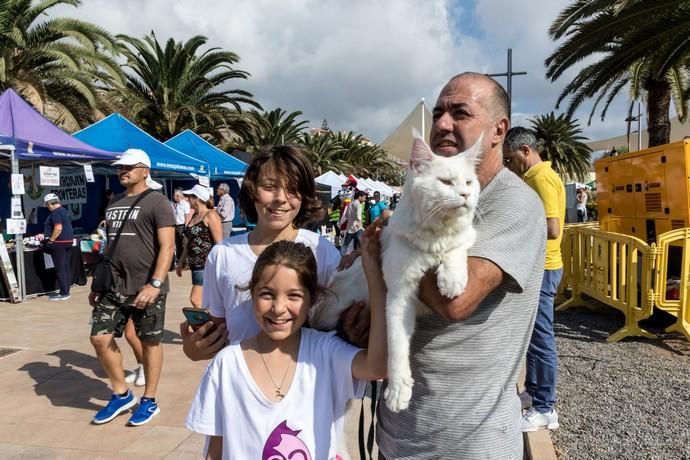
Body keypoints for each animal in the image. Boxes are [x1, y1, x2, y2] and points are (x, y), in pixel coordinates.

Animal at [310, 135, 478, 412]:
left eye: (469, 182)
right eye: (445, 182)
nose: (465, 195)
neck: (435, 235)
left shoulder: (464, 236)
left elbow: (456, 247)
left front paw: (452, 280)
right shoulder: (400, 295)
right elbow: (398, 347)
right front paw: (398, 391)